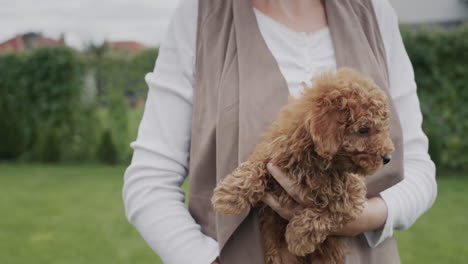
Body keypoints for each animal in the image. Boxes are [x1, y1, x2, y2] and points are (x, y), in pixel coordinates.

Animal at [212, 68, 394, 264]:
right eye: (363, 130)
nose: (388, 158)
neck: (317, 162)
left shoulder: (352, 196)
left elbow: (331, 210)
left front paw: (298, 237)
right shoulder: (275, 150)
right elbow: (256, 165)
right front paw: (229, 195)